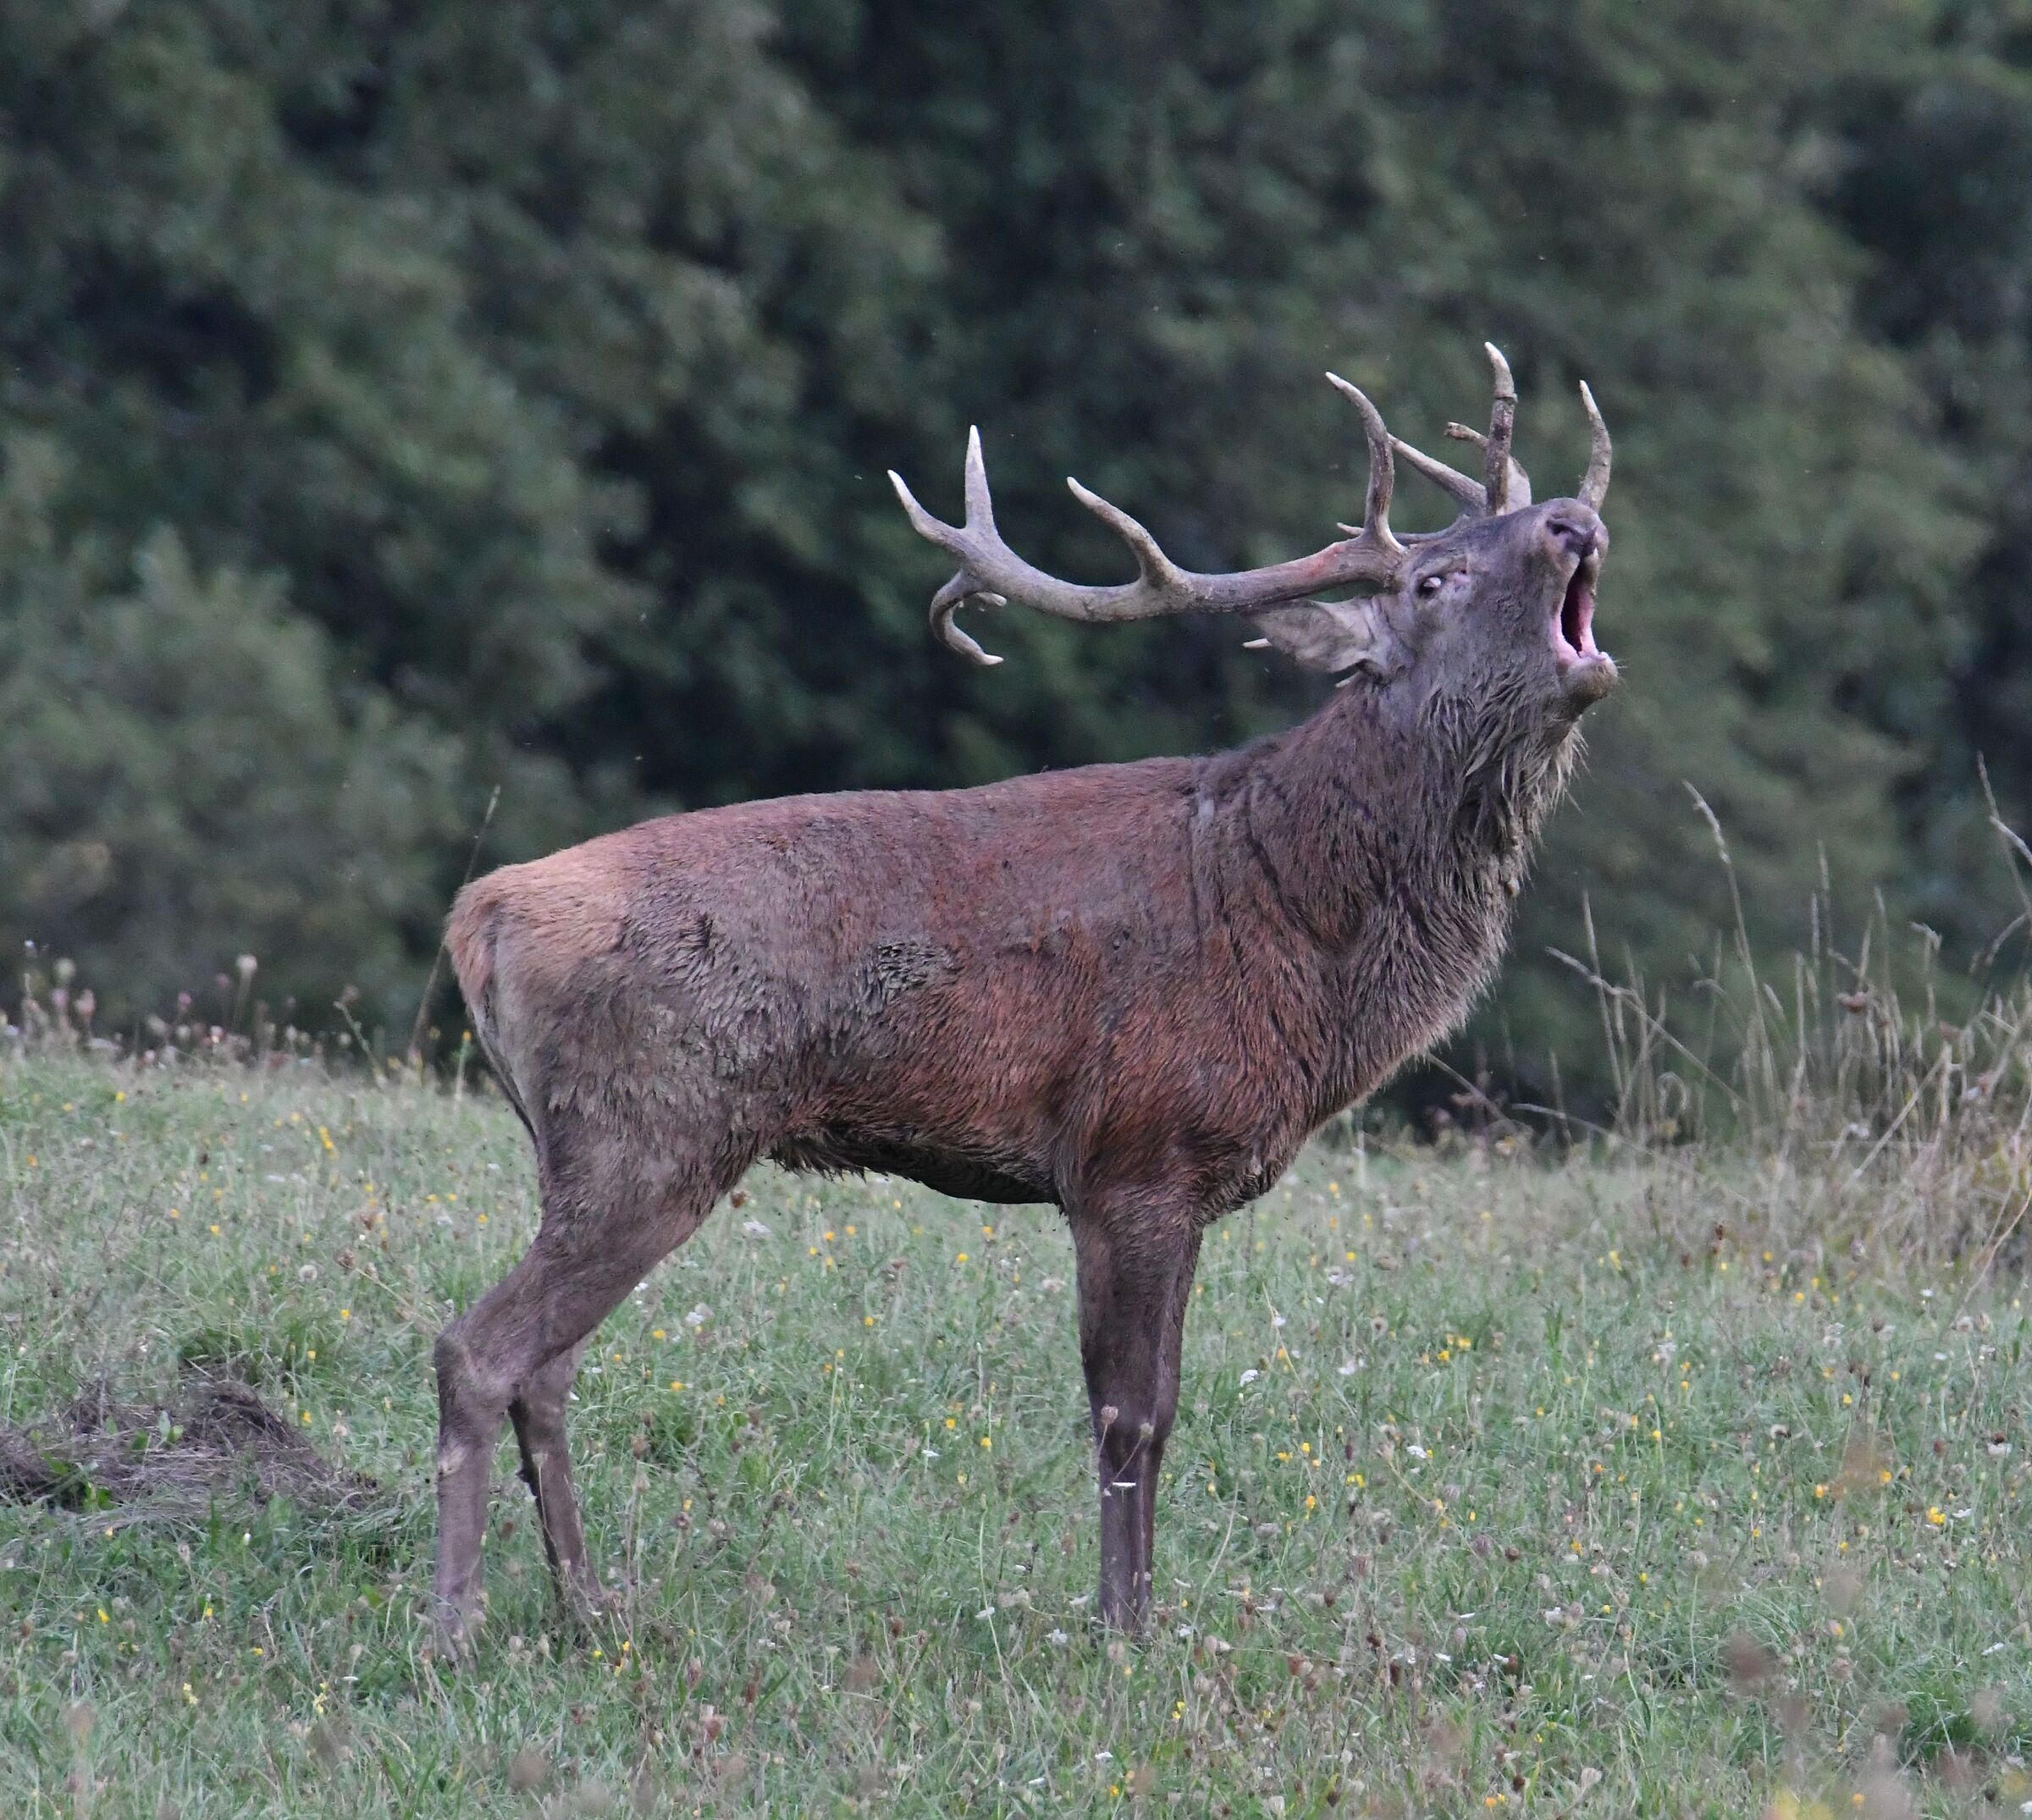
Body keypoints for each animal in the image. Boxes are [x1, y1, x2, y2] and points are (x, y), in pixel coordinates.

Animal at [433, 343, 1617, 1644]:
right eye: (1433, 579)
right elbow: (1132, 1413)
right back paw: (456, 1625)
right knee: (479, 1348)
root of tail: (479, 915)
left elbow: (1160, 1407)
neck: (1295, 919)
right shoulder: (1135, 1152)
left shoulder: (1173, 1178)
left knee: (547, 1364)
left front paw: (1135, 1616)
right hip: (653, 1128)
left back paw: (592, 1605)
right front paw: (1122, 1632)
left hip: (594, 1149)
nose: (1574, 520)